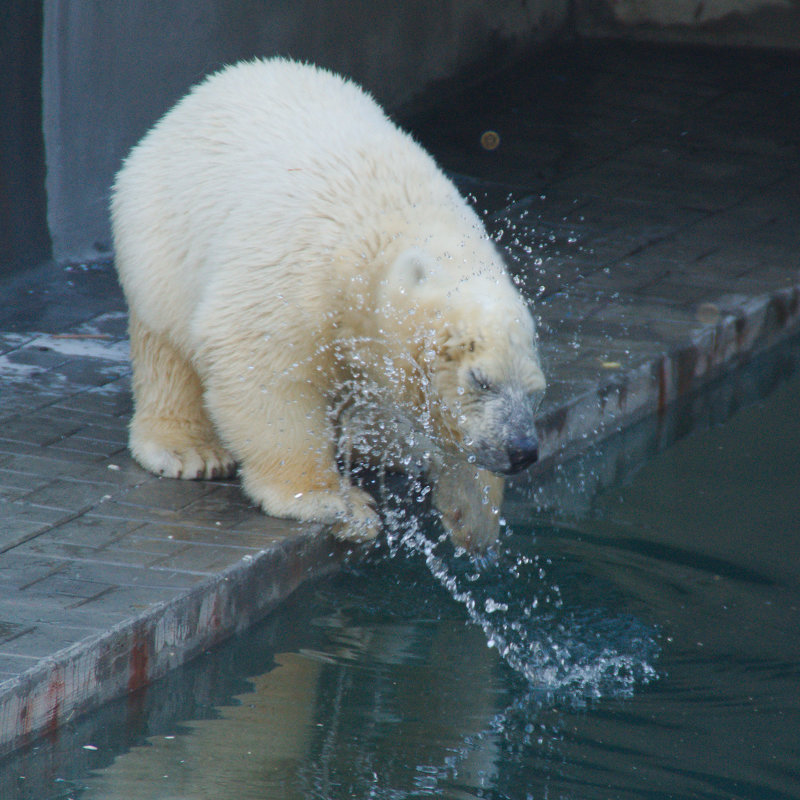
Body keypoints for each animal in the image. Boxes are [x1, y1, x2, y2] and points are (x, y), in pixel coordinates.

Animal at [112, 59, 548, 552]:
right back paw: (189, 449)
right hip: (164, 242)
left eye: (535, 391)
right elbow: (261, 369)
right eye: (481, 380)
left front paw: (473, 513)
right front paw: (335, 502)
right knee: (167, 350)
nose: (522, 451)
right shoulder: (297, 272)